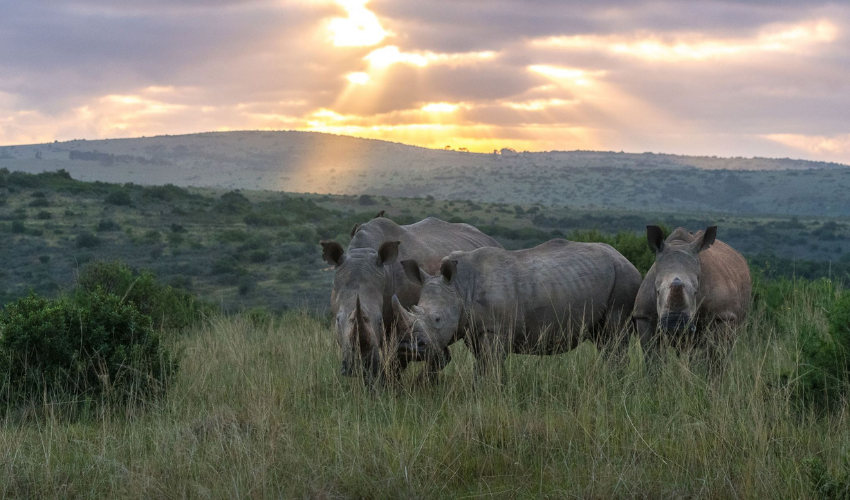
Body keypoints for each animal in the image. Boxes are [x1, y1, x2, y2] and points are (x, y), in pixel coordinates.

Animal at [322, 215, 500, 382]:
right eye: (337, 320)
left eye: (379, 320)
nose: (356, 367)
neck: (363, 251)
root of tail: (491, 239)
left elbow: (395, 363)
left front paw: (389, 388)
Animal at [394, 240, 640, 380]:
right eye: (413, 309)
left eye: (437, 319)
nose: (408, 348)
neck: (459, 287)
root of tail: (625, 259)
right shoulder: (473, 329)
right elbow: (483, 365)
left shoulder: (495, 330)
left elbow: (490, 364)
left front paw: (489, 392)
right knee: (602, 339)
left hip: (624, 279)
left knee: (614, 335)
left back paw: (614, 382)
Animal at [632, 228, 752, 364]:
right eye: (657, 292)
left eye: (695, 292)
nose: (675, 325)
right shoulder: (644, 316)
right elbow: (652, 356)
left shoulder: (722, 316)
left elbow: (717, 357)